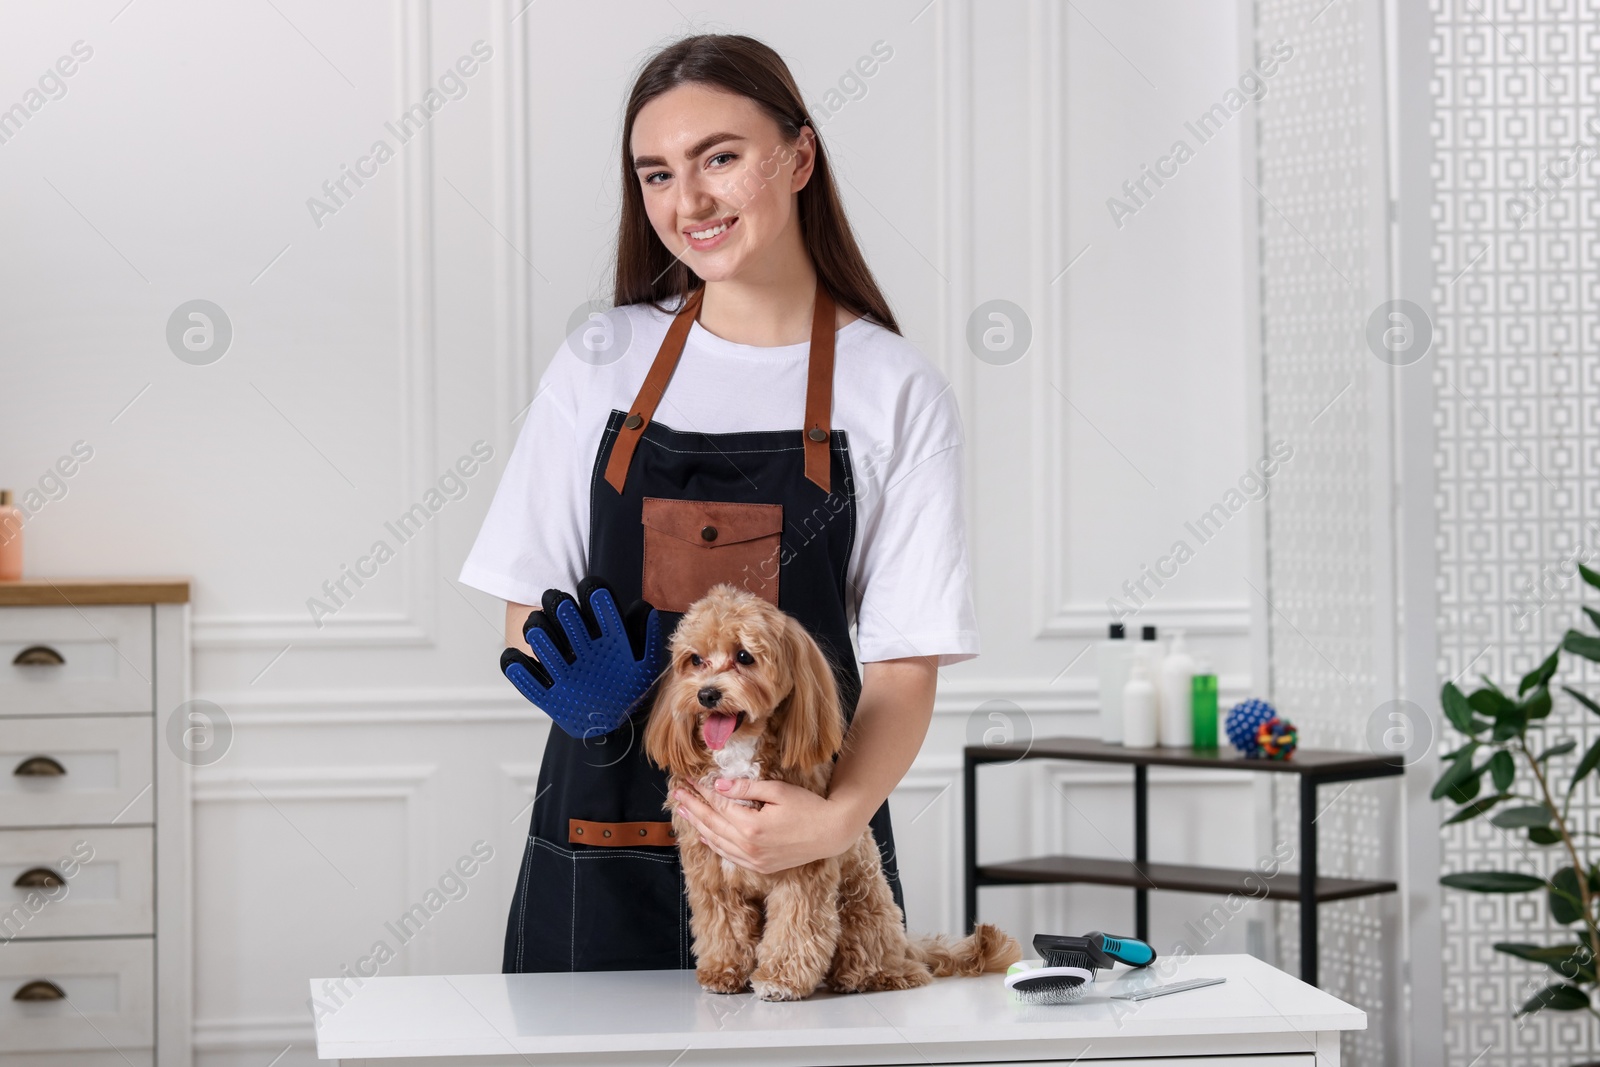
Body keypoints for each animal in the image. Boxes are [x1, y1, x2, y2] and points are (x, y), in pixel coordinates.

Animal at [643, 585, 1017, 1004]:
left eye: (743, 656)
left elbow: (796, 927)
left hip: (863, 904)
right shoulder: (710, 870)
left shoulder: (800, 865)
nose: (707, 694)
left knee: (887, 961)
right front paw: (723, 971)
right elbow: (723, 926)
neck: (740, 753)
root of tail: (906, 947)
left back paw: (870, 975)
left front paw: (779, 979)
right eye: (695, 659)